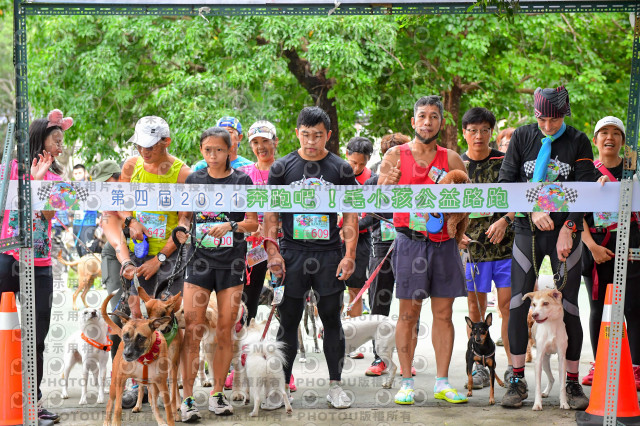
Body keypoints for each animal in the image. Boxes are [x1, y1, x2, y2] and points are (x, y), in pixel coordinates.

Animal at [103, 292, 178, 424]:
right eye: (125, 336)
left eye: (141, 338)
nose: (126, 354)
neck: (144, 358)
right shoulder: (121, 379)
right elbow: (117, 408)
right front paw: (115, 422)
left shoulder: (162, 384)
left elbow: (168, 412)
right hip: (114, 385)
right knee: (110, 403)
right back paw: (107, 422)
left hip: (153, 386)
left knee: (154, 404)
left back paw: (160, 421)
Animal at [136, 286, 184, 422]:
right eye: (144, 315)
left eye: (159, 316)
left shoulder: (173, 364)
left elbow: (172, 391)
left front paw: (174, 413)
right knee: (142, 386)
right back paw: (140, 405)